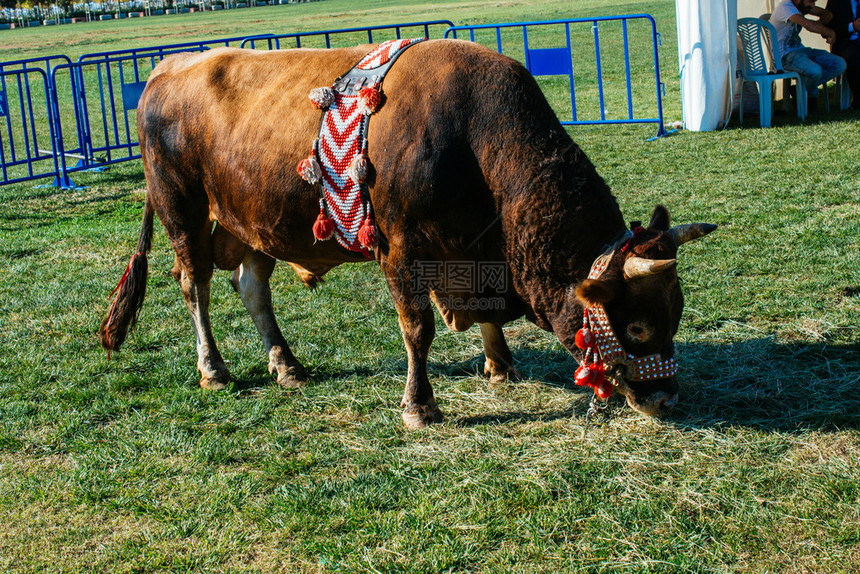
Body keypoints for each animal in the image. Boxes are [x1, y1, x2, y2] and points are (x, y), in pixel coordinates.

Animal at [101, 39, 716, 428]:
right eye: (635, 327)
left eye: (677, 312)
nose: (668, 401)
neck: (475, 139)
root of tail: (167, 68)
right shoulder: (401, 250)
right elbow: (418, 329)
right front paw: (420, 405)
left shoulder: (472, 254)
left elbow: (487, 313)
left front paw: (500, 365)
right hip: (183, 211)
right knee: (196, 287)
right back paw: (214, 368)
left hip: (255, 222)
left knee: (252, 288)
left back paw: (287, 363)